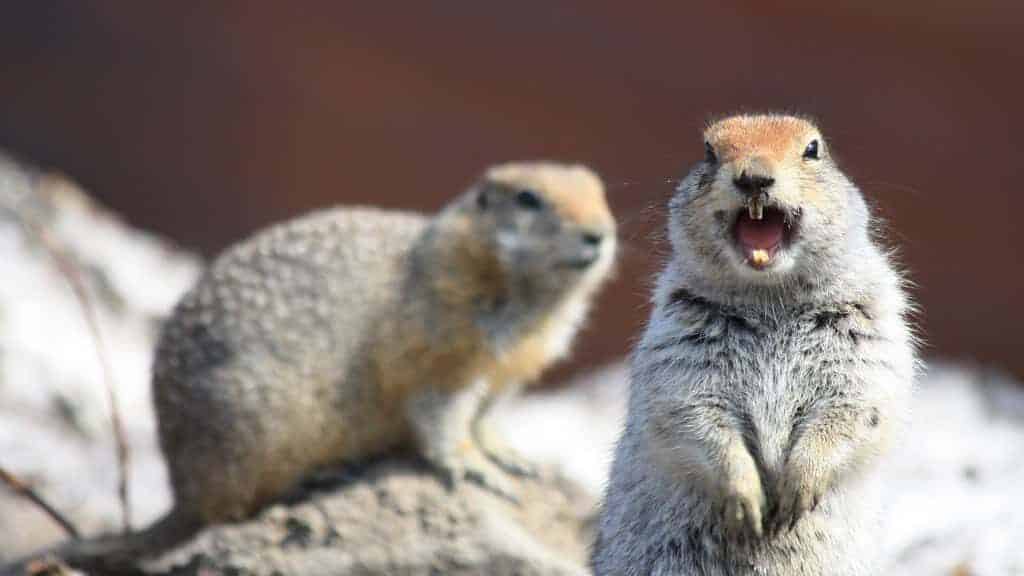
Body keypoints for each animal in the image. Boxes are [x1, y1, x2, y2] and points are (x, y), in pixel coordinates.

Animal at [37, 161, 616, 571]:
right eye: (528, 198)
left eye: (600, 192)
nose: (599, 233)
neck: (526, 296)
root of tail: (182, 492)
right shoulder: (440, 348)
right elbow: (441, 418)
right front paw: (475, 467)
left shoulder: (504, 374)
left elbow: (485, 415)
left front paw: (511, 456)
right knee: (229, 511)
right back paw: (316, 478)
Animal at [591, 115, 917, 575]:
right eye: (708, 151)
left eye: (813, 149)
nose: (754, 177)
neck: (770, 298)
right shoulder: (679, 348)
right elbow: (696, 417)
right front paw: (747, 502)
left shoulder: (865, 346)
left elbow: (852, 409)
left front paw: (797, 489)